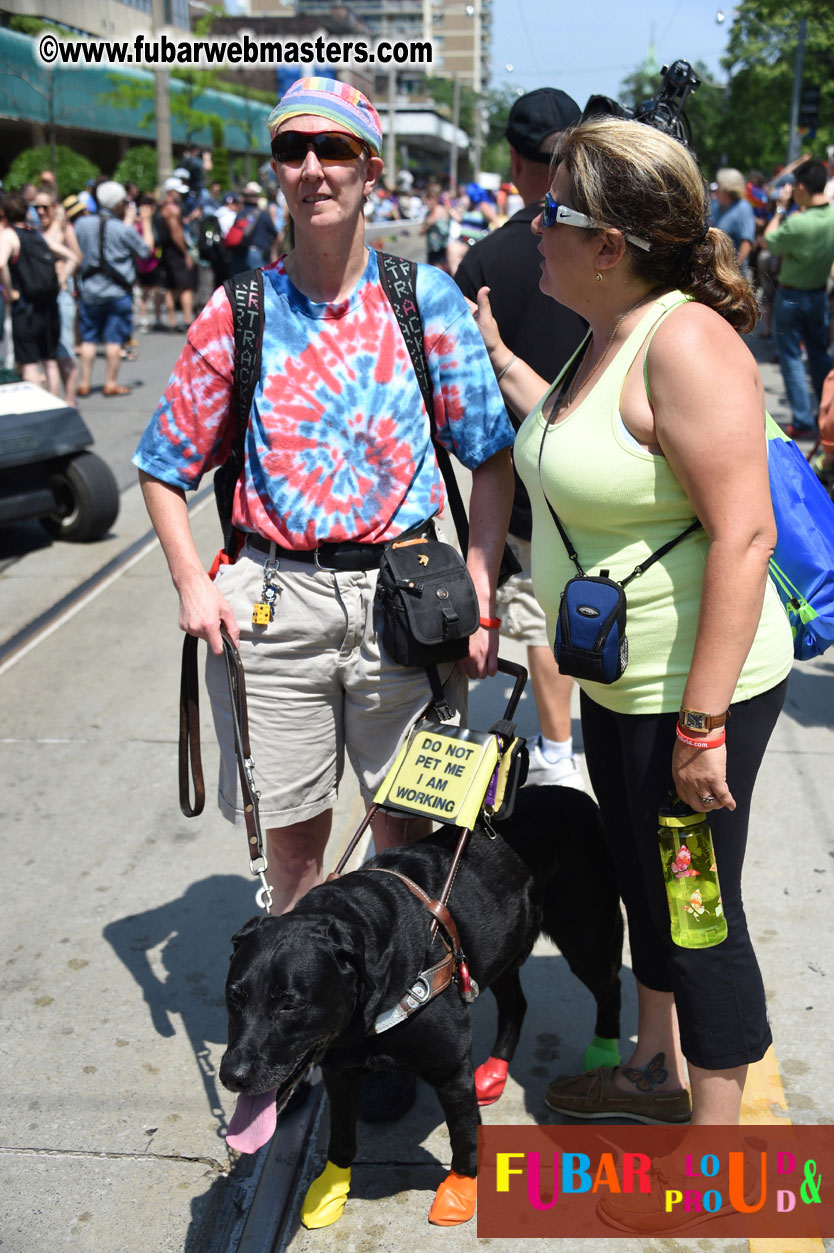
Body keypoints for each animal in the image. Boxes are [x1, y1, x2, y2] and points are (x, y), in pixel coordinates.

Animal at [217, 786, 621, 1227]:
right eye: (234, 997)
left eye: (289, 1004)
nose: (232, 1076)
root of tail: (571, 793)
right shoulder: (340, 1070)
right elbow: (341, 1138)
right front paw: (331, 1190)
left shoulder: (450, 1068)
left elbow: (464, 1137)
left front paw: (460, 1191)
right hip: (498, 952)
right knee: (517, 1004)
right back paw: (495, 1073)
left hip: (585, 934)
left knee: (610, 988)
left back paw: (605, 1055)